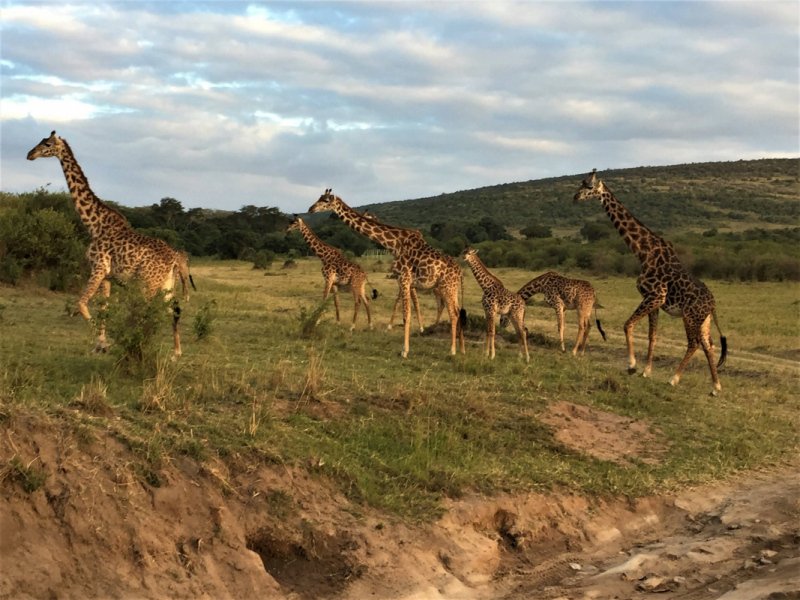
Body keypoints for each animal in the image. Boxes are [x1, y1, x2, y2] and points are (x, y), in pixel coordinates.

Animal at [26, 131, 193, 357]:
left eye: (47, 144)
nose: (30, 154)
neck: (94, 223)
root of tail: (174, 258)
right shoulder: (107, 276)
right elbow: (103, 308)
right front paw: (102, 342)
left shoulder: (97, 268)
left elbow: (81, 303)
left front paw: (103, 344)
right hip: (166, 283)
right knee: (173, 310)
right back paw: (176, 352)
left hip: (149, 283)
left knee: (148, 311)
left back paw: (141, 347)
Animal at [308, 189, 464, 358]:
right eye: (319, 197)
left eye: (326, 200)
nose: (310, 209)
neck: (394, 244)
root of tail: (459, 272)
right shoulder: (406, 281)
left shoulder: (404, 278)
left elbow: (406, 314)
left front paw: (404, 351)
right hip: (452, 288)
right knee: (458, 311)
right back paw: (462, 348)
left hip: (446, 287)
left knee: (453, 313)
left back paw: (452, 350)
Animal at [573, 169, 727, 395]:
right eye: (581, 183)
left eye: (589, 186)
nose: (575, 197)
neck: (643, 252)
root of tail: (713, 304)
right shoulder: (654, 301)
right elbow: (651, 336)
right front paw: (646, 371)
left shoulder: (654, 296)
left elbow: (628, 324)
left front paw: (631, 366)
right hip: (703, 320)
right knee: (709, 345)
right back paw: (716, 387)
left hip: (690, 317)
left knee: (694, 343)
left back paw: (674, 379)